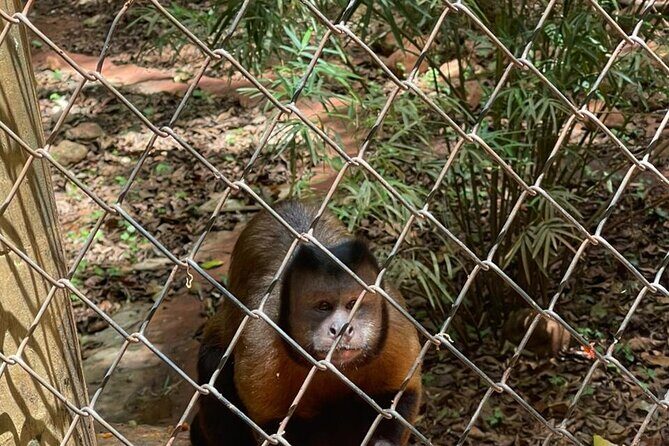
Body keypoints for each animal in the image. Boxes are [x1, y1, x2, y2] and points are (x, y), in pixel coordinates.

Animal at [190, 200, 422, 446]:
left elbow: (399, 399)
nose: (341, 329)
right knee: (212, 362)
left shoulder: (395, 324)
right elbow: (272, 428)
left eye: (353, 304)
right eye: (323, 306)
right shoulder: (259, 345)